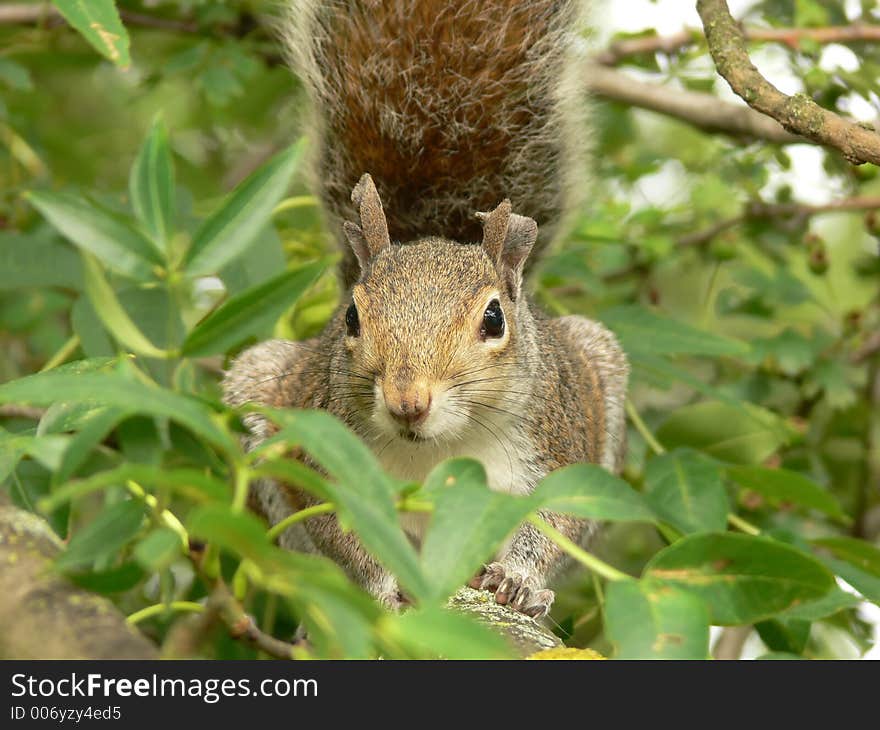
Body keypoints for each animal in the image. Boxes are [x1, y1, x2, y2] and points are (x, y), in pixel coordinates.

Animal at [223, 0, 628, 616]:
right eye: (352, 318)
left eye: (494, 319)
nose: (407, 401)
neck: (443, 447)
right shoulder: (328, 460)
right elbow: (342, 530)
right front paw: (386, 588)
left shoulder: (561, 446)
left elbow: (557, 519)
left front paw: (519, 580)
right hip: (259, 385)